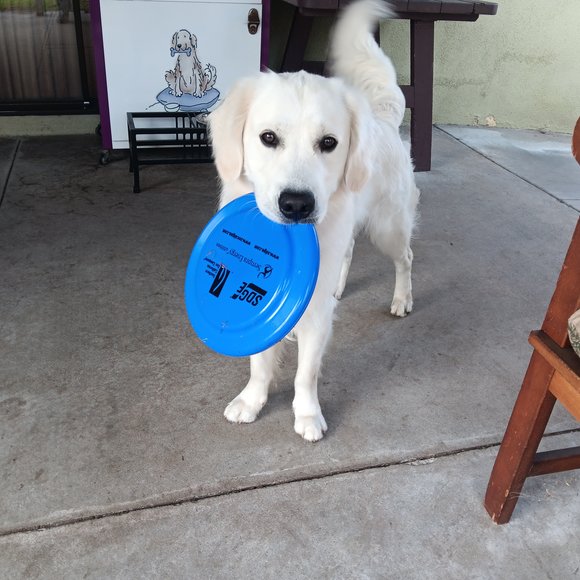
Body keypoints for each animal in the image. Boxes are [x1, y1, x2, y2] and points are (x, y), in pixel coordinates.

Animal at [208, 0, 419, 442]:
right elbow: (259, 362)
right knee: (349, 250)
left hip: (388, 227)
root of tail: (384, 118)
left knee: (405, 257)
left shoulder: (315, 314)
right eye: (268, 138)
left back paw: (401, 299)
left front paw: (307, 415)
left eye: (329, 143)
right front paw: (251, 401)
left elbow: (306, 373)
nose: (296, 205)